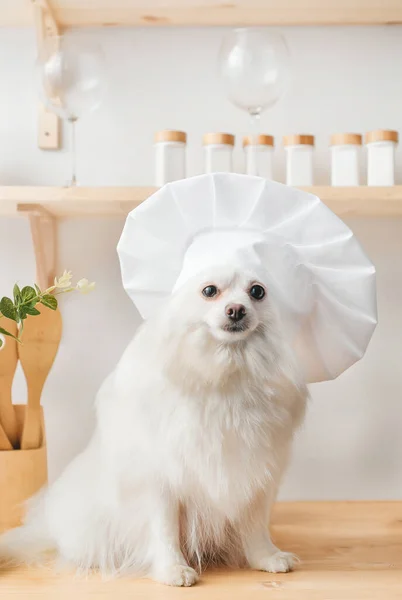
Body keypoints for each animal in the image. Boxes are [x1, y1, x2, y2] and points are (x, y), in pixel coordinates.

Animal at [0, 266, 308, 584]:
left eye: (257, 292)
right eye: (209, 291)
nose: (236, 309)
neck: (224, 375)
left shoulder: (256, 477)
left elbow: (255, 525)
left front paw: (266, 556)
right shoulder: (160, 482)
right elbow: (165, 531)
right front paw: (173, 569)